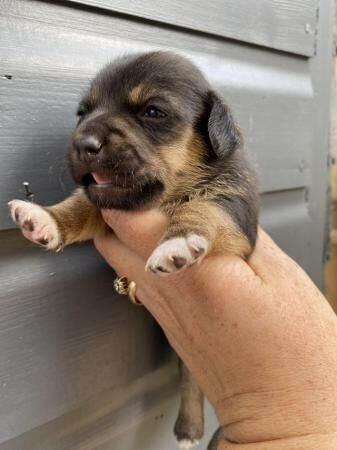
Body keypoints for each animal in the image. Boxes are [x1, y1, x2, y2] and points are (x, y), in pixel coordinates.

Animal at [8, 51, 258, 450]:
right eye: (82, 113)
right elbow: (80, 204)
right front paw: (44, 218)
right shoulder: (103, 202)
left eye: (153, 112)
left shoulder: (235, 207)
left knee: (192, 377)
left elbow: (205, 207)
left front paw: (177, 241)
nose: (83, 143)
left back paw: (189, 432)